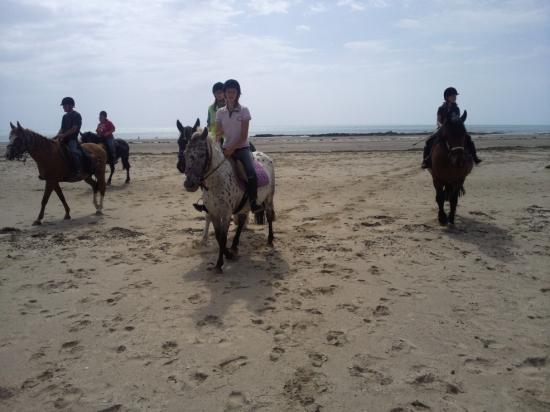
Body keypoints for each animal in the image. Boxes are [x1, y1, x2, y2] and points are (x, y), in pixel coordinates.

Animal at [183, 127, 276, 272]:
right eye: (185, 153)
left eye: (202, 154)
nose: (189, 184)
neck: (216, 181)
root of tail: (265, 156)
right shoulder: (213, 212)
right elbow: (218, 236)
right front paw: (228, 254)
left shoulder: (225, 213)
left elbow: (223, 236)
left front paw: (219, 264)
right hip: (244, 205)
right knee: (242, 222)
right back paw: (234, 245)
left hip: (269, 198)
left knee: (269, 216)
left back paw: (270, 239)